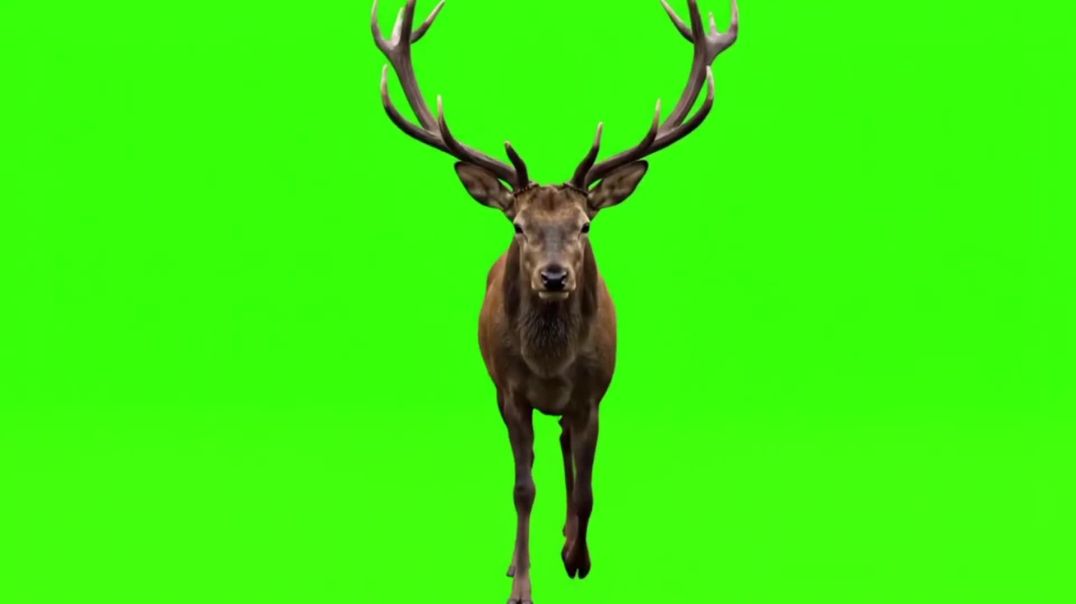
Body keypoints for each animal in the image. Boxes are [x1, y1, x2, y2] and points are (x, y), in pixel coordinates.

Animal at [371, 1, 738, 601]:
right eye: (518, 225)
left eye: (584, 224)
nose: (554, 276)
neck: (549, 363)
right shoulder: (509, 392)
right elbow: (523, 487)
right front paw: (521, 582)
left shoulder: (593, 394)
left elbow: (586, 486)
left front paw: (576, 557)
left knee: (567, 445)